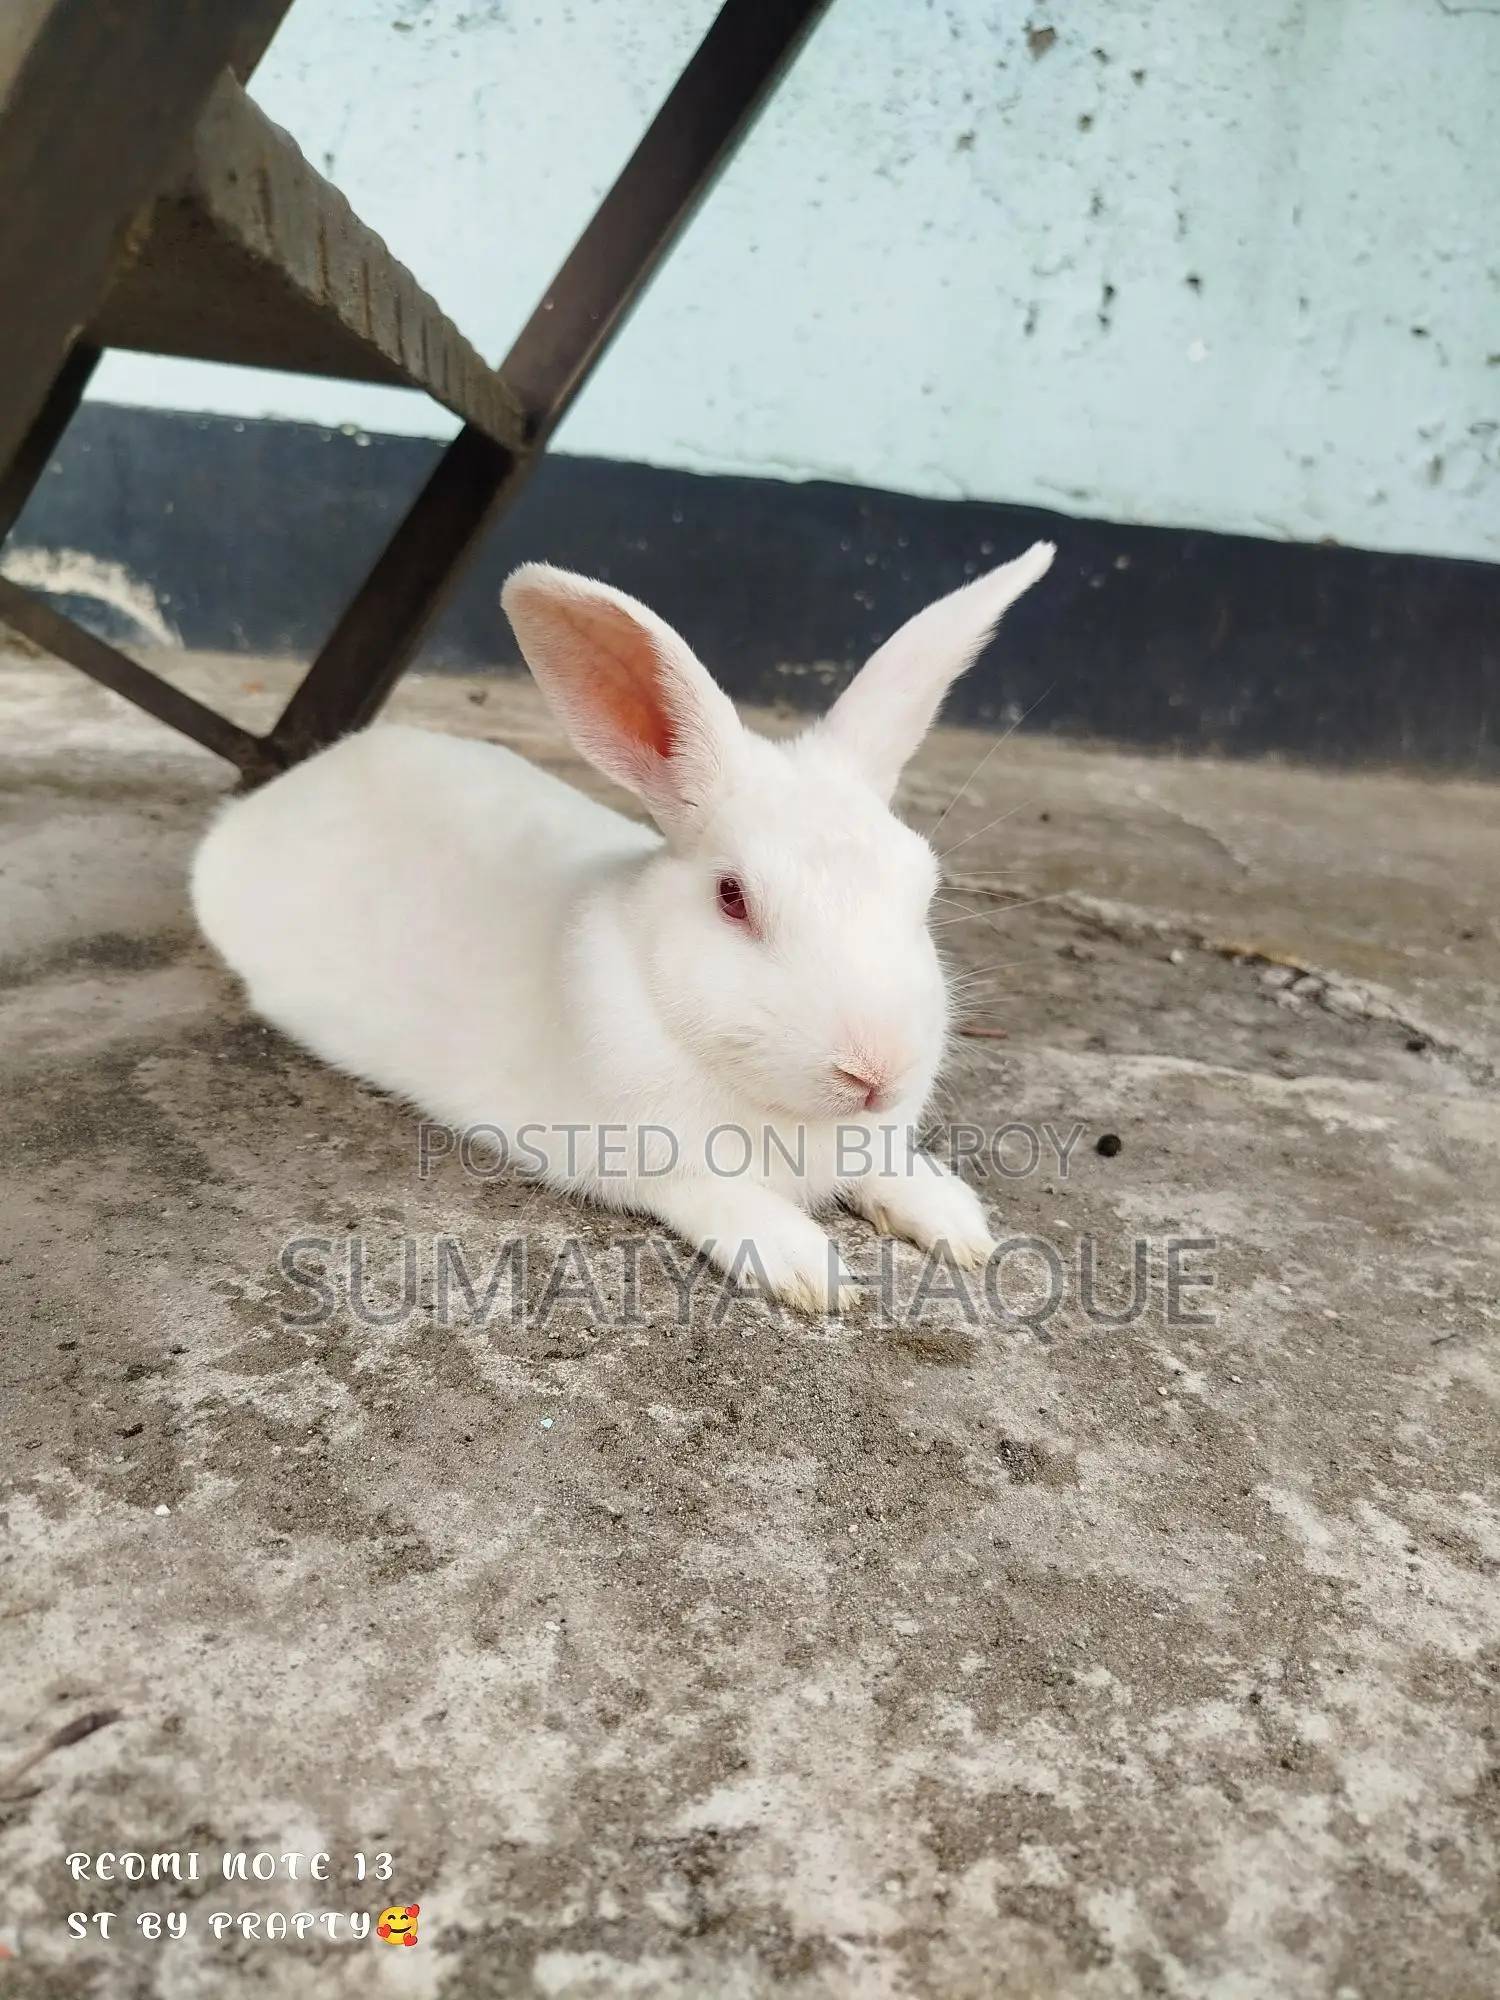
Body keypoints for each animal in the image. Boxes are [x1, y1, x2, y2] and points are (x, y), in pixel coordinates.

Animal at [191, 541, 1055, 1313]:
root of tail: (279, 793)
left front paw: (960, 1225)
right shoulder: (651, 1161)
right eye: (733, 897)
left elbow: (890, 1167)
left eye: (923, 887)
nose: (876, 1073)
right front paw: (813, 1272)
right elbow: (731, 1203)